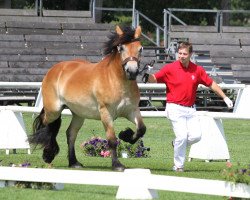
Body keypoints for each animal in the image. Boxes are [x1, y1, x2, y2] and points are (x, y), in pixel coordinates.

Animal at [29, 25, 146, 170]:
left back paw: (74, 162)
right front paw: (117, 164)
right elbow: (112, 139)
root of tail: (55, 69)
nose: (132, 71)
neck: (116, 81)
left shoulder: (132, 110)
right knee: (47, 125)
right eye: (121, 48)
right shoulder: (106, 113)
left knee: (70, 134)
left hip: (78, 114)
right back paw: (48, 155)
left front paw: (126, 135)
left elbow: (141, 129)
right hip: (53, 111)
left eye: (140, 48)